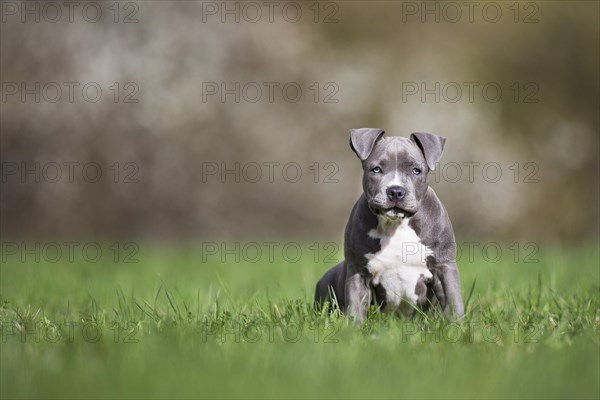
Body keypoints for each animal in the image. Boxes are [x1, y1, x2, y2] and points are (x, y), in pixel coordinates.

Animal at [314, 130, 464, 324]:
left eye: (416, 170)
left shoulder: (444, 266)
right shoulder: (358, 271)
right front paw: (353, 328)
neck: (396, 224)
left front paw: (456, 326)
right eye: (376, 169)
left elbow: (453, 301)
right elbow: (355, 306)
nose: (396, 191)